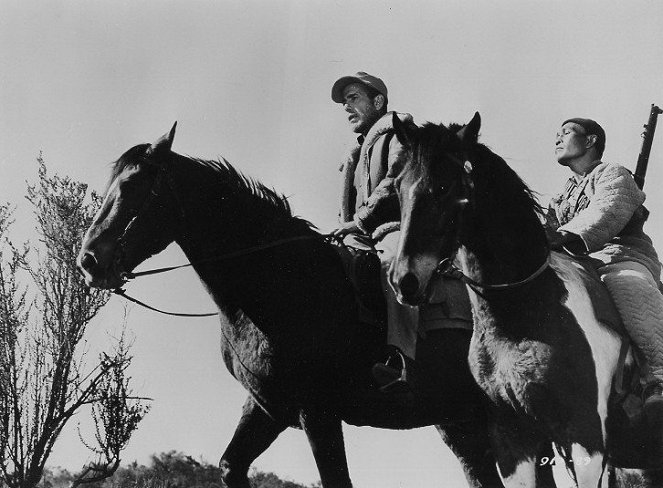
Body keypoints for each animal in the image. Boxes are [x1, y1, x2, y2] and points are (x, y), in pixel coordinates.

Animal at [75, 124, 508, 486]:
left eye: (132, 184)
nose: (89, 260)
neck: (282, 286)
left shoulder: (319, 414)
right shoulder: (266, 409)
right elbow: (231, 466)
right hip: (461, 425)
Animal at [390, 112, 663, 486]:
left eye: (443, 186)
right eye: (398, 186)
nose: (404, 280)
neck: (523, 312)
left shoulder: (586, 440)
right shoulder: (512, 443)